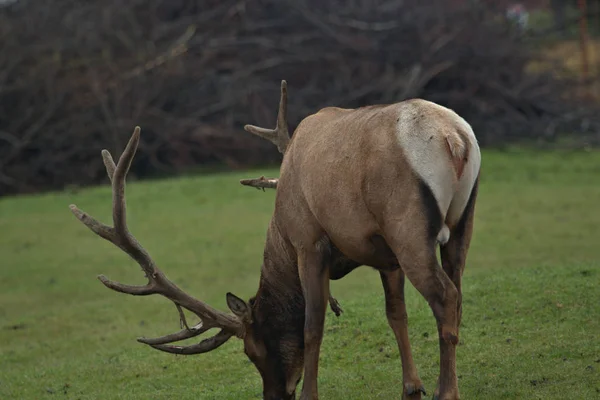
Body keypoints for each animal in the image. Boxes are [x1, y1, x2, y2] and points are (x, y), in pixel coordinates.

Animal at [70, 79, 480, 398]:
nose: (274, 395)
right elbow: (396, 313)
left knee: (445, 296)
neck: (280, 229)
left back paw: (448, 391)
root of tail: (455, 139)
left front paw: (310, 394)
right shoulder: (383, 253)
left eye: (252, 350)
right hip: (460, 222)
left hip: (407, 225)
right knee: (458, 292)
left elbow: (312, 325)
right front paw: (411, 386)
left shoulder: (308, 240)